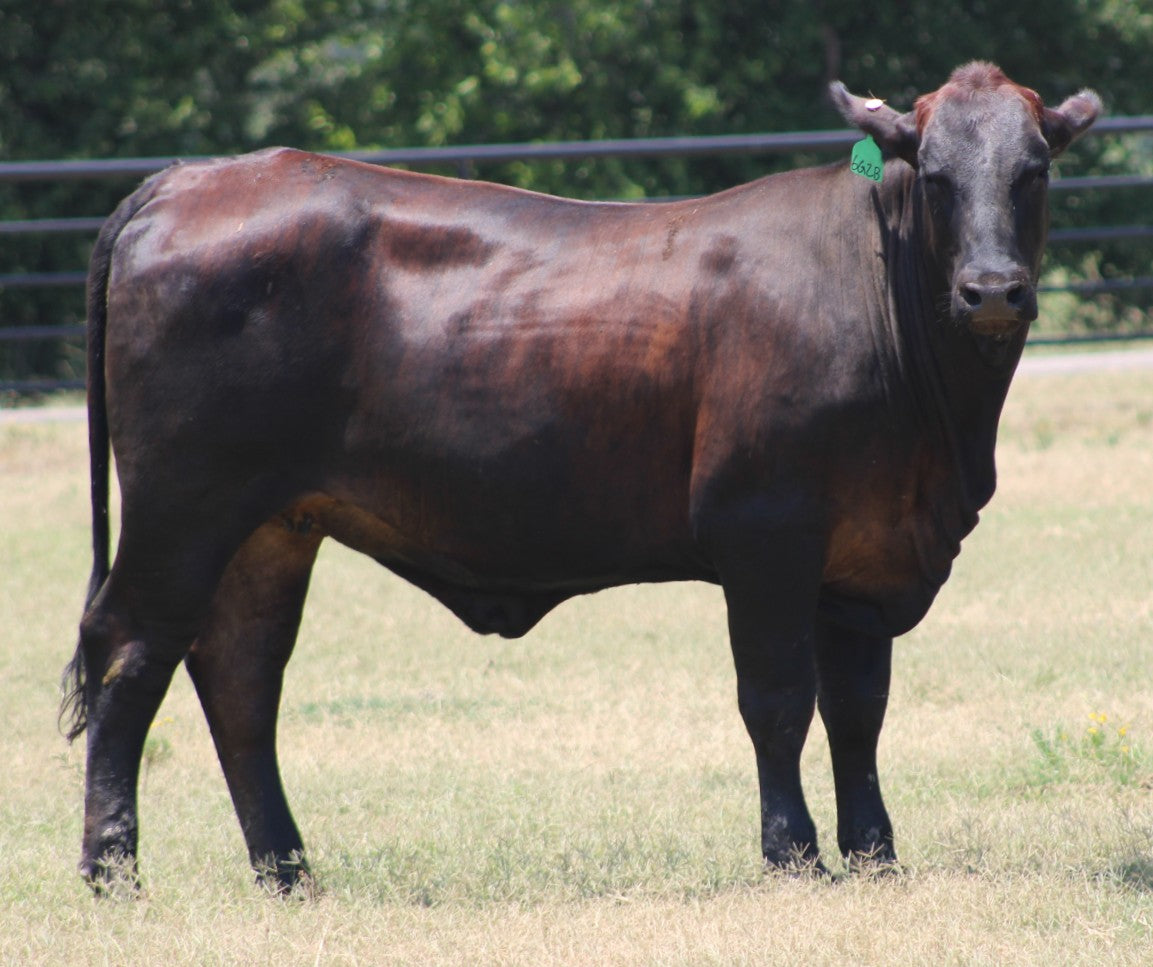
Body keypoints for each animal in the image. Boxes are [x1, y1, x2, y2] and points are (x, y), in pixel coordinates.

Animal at [62, 63, 1100, 893]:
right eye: (934, 175)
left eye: (1034, 170)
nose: (992, 290)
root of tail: (190, 178)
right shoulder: (765, 530)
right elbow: (775, 698)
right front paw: (794, 853)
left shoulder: (866, 554)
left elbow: (857, 711)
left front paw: (876, 854)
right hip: (181, 508)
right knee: (132, 654)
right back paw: (114, 868)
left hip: (271, 527)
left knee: (239, 675)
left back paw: (287, 870)